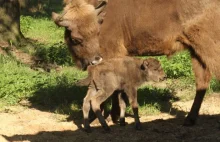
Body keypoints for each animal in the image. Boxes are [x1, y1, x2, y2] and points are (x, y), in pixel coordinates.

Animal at [54, 0, 220, 126]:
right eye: (76, 39)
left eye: (97, 32)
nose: (95, 59)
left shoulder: (112, 55)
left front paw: (104, 118)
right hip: (196, 53)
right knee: (202, 83)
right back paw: (189, 120)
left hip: (208, 49)